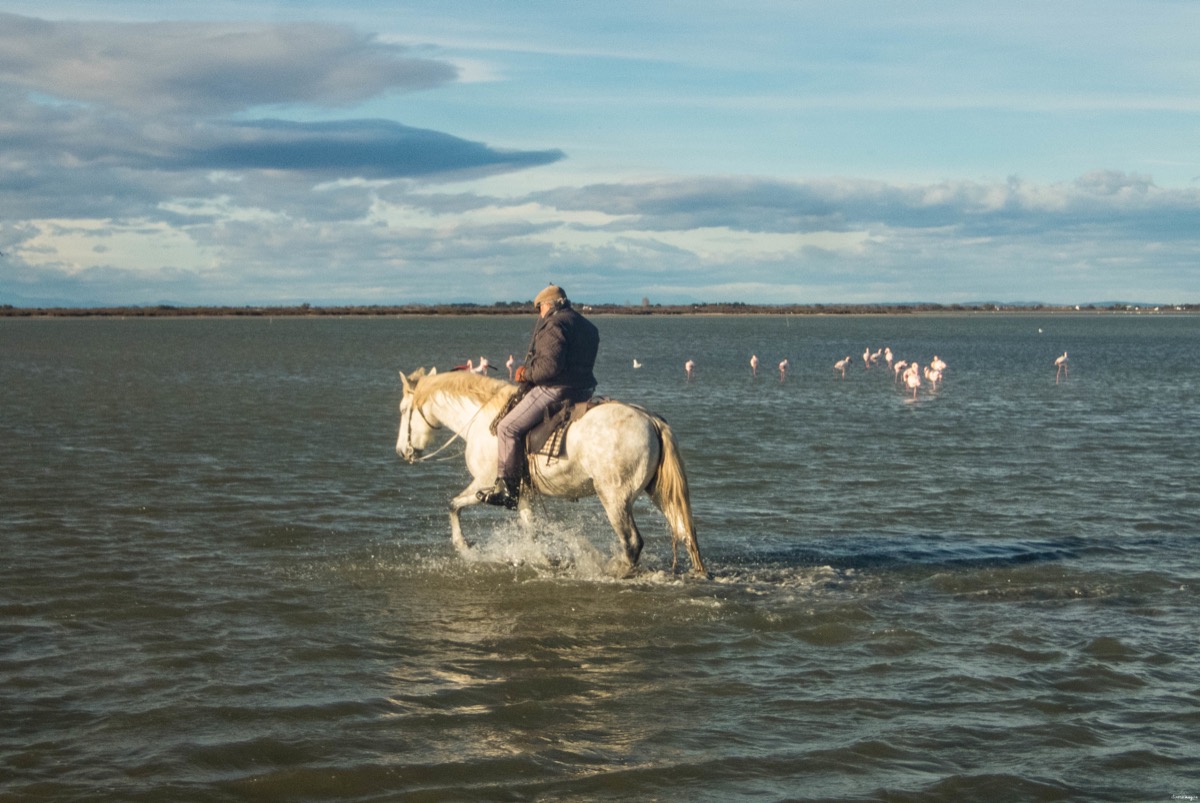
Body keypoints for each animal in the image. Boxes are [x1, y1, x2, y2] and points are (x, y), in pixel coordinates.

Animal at [398, 369, 705, 576]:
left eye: (403, 410)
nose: (402, 451)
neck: (484, 420)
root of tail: (650, 419)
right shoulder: (521, 494)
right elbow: (531, 528)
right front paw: (544, 559)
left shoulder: (485, 485)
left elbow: (453, 505)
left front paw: (464, 547)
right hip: (659, 494)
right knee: (684, 533)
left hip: (614, 498)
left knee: (632, 542)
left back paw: (613, 569)